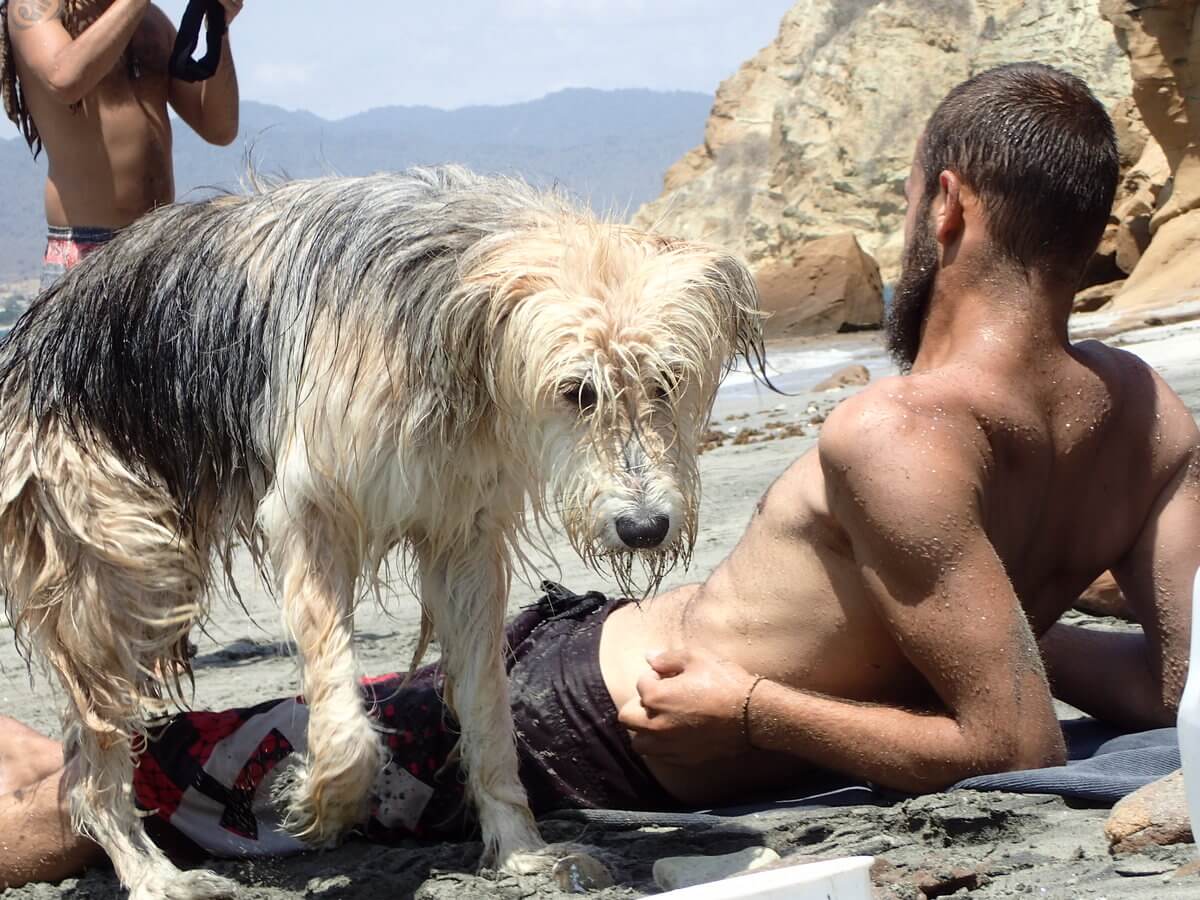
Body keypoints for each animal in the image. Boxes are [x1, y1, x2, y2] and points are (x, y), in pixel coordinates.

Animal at [0, 169, 763, 900]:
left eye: (667, 382)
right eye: (577, 392)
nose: (644, 527)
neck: (448, 312)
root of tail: (30, 331)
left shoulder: (464, 538)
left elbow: (488, 713)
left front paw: (521, 852)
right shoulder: (310, 513)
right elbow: (342, 703)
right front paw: (326, 799)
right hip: (128, 567)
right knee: (86, 767)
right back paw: (154, 873)